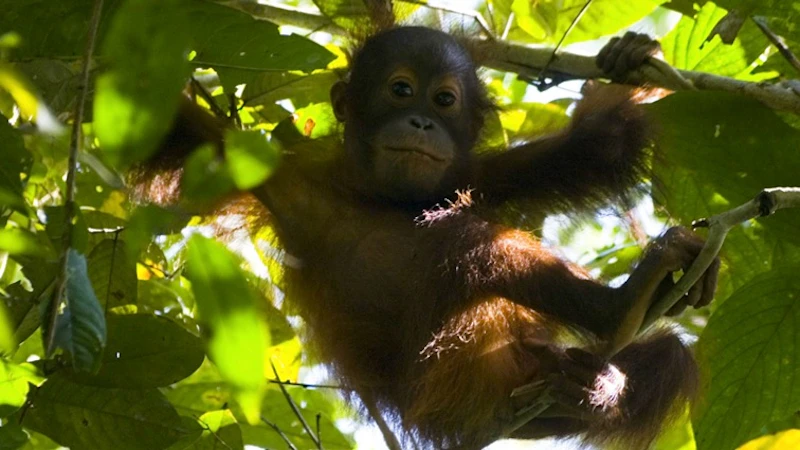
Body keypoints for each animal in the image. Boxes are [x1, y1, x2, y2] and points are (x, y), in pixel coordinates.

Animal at [137, 28, 719, 449]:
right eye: (401, 90)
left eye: (444, 100)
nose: (420, 122)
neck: (380, 198)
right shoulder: (274, 171)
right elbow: (174, 129)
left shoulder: (481, 177)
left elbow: (599, 146)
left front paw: (628, 61)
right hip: (450, 380)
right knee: (453, 242)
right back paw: (618, 312)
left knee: (667, 359)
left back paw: (599, 383)